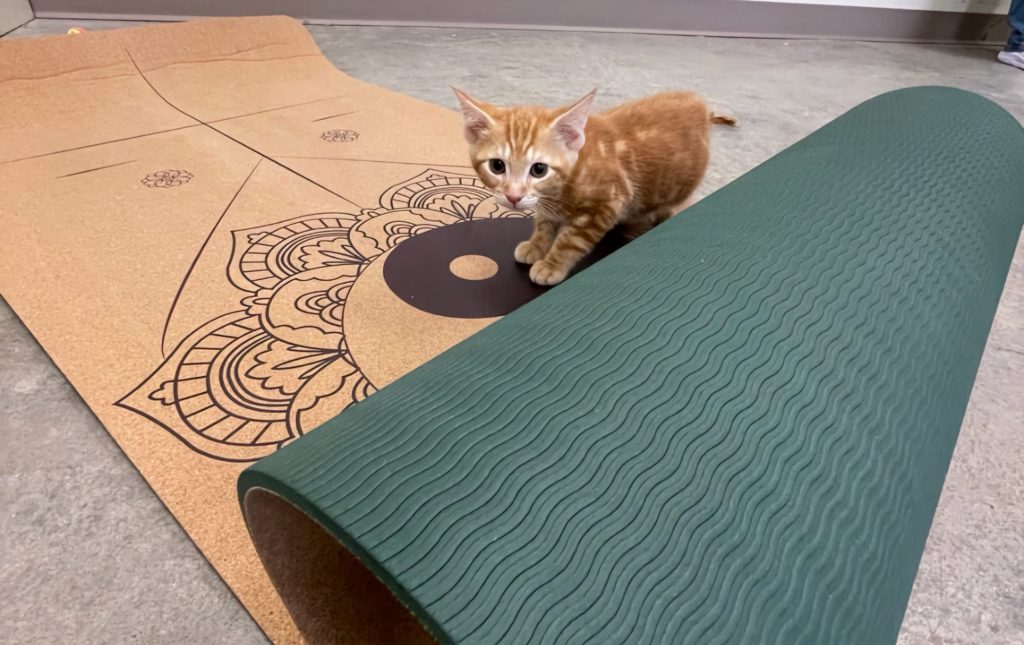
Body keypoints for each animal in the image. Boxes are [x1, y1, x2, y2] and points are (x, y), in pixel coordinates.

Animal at [452, 89, 733, 284]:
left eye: (539, 170)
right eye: (497, 166)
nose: (513, 196)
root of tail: (698, 102)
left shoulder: (608, 201)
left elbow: (571, 240)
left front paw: (552, 264)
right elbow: (544, 223)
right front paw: (536, 245)